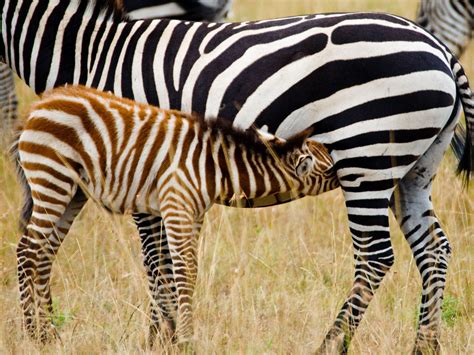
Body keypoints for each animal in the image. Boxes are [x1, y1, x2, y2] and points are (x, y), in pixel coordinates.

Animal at [12, 85, 336, 344]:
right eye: (331, 169)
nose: (348, 169)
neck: (215, 166)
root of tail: (38, 107)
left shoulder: (194, 213)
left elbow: (190, 272)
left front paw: (178, 336)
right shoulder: (176, 205)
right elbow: (183, 270)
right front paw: (187, 339)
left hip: (72, 193)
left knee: (44, 253)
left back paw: (51, 333)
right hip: (52, 178)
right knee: (28, 250)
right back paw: (32, 334)